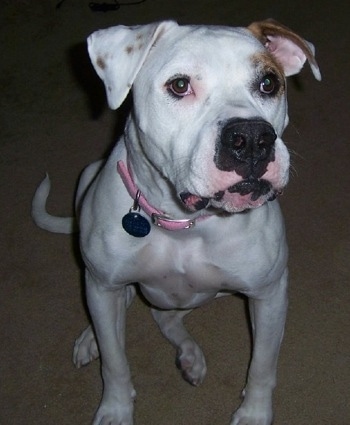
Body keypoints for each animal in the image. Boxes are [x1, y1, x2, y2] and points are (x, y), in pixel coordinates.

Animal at [32, 19, 320, 424]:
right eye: (180, 86)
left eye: (268, 83)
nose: (252, 138)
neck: (186, 223)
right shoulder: (103, 285)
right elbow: (115, 361)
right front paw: (115, 408)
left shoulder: (269, 294)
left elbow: (262, 367)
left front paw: (253, 413)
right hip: (89, 195)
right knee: (119, 314)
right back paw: (92, 338)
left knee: (166, 319)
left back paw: (190, 357)